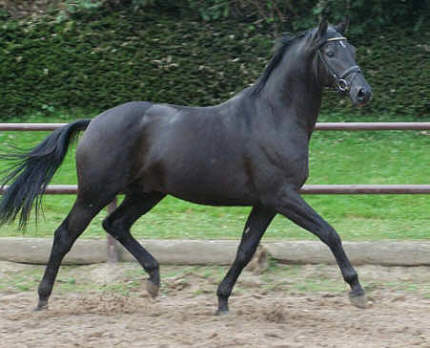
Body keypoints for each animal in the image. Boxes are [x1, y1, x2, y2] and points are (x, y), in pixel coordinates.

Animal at [0, 18, 372, 312]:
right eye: (331, 53)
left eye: (352, 49)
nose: (362, 92)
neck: (273, 116)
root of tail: (94, 122)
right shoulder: (282, 195)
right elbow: (329, 233)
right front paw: (357, 291)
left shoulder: (266, 203)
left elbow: (245, 249)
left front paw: (222, 300)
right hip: (95, 193)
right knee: (66, 234)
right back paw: (43, 299)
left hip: (146, 193)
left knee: (115, 224)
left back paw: (153, 280)